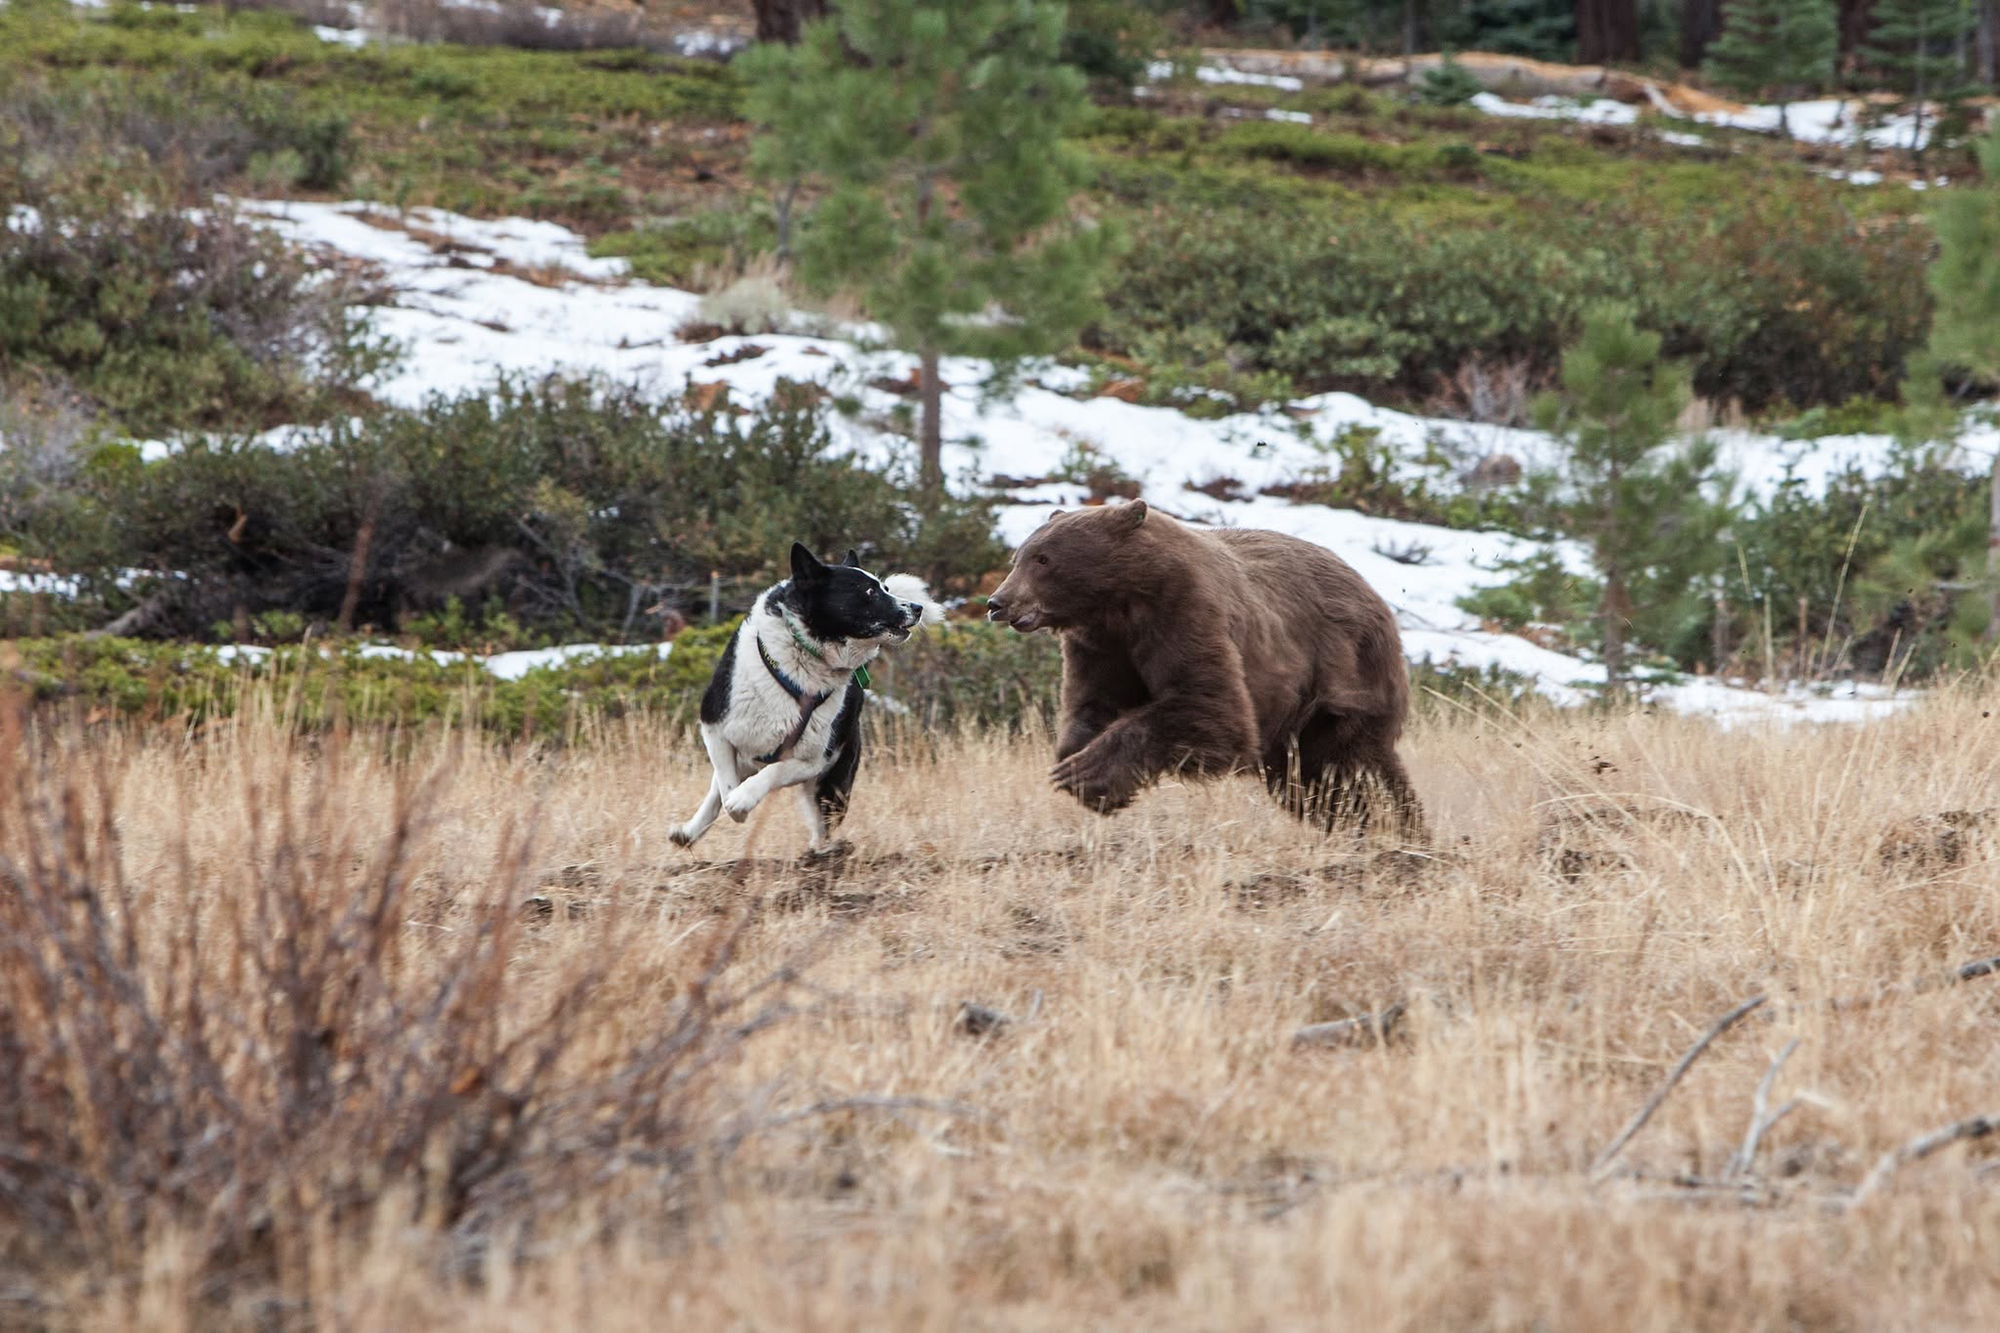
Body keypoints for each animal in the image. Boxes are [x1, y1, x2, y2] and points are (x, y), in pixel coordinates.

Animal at [984, 500, 1422, 835]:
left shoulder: (1185, 614)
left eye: (1043, 559)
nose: (997, 602)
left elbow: (1210, 708)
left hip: (1343, 680)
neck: (1120, 602)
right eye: (1017, 557)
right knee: (1312, 781)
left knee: (1349, 767)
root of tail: (1373, 593)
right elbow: (1094, 703)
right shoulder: (1100, 645)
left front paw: (1085, 772)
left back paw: (1396, 829)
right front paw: (1078, 766)